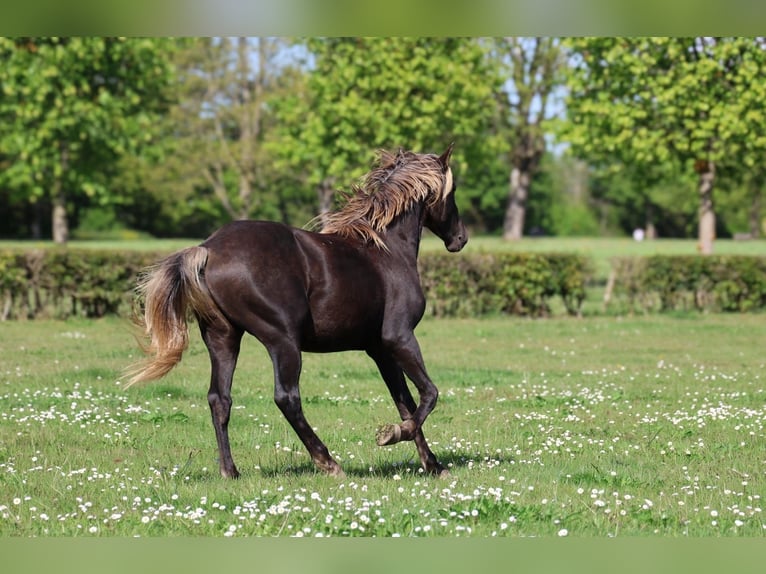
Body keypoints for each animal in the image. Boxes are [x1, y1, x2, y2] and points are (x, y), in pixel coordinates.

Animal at [126, 144, 467, 479]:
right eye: (451, 191)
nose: (460, 238)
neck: (385, 249)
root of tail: (209, 248)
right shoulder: (399, 337)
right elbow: (428, 394)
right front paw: (393, 434)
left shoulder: (379, 349)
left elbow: (405, 401)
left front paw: (432, 464)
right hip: (283, 340)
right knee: (287, 397)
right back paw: (328, 462)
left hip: (223, 338)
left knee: (219, 398)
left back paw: (230, 471)